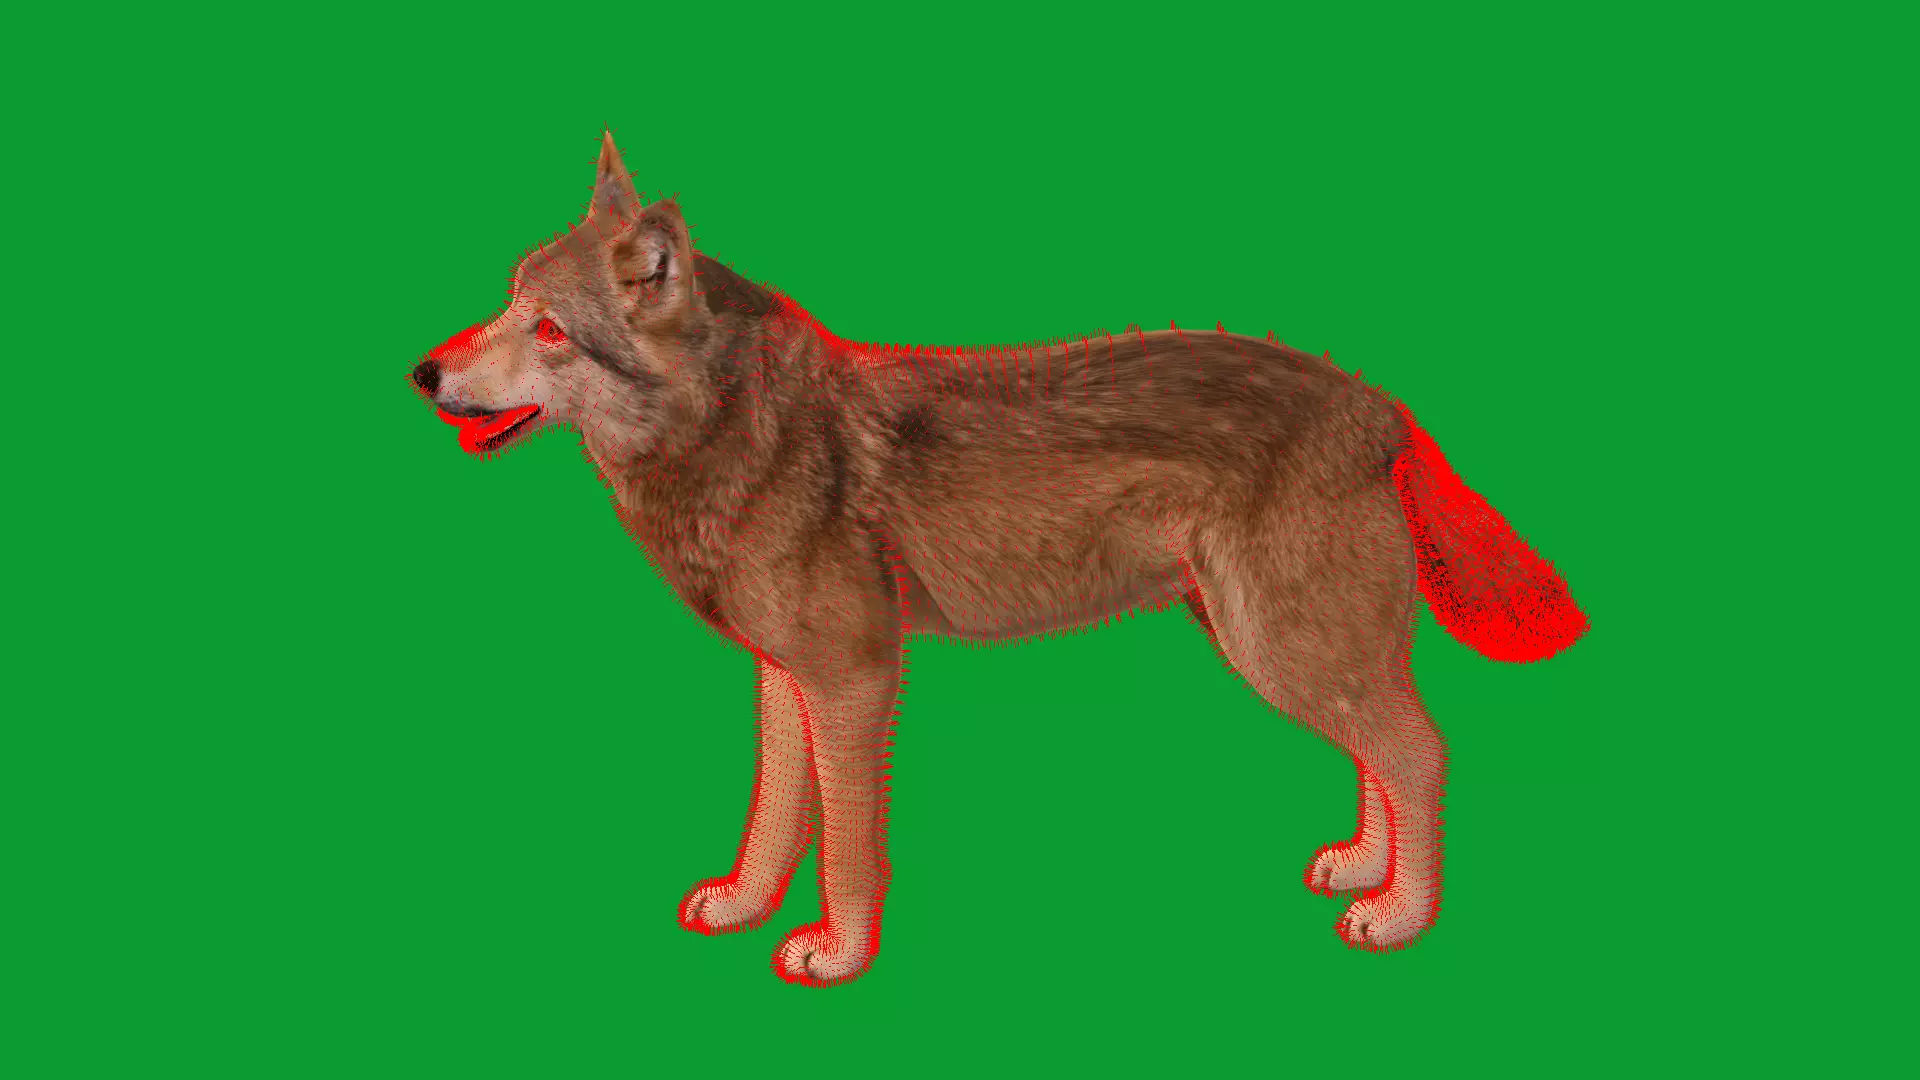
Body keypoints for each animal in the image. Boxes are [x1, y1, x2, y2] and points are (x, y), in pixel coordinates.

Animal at [409, 131, 1588, 987]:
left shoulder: (855, 680)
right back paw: (1367, 875)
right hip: (1288, 646)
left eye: (549, 329)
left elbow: (845, 842)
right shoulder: (783, 678)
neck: (733, 429)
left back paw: (1402, 918)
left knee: (1419, 752)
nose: (422, 374)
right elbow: (774, 816)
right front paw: (743, 910)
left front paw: (838, 955)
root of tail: (1376, 401)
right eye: (506, 303)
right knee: (1379, 753)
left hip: (1283, 649)